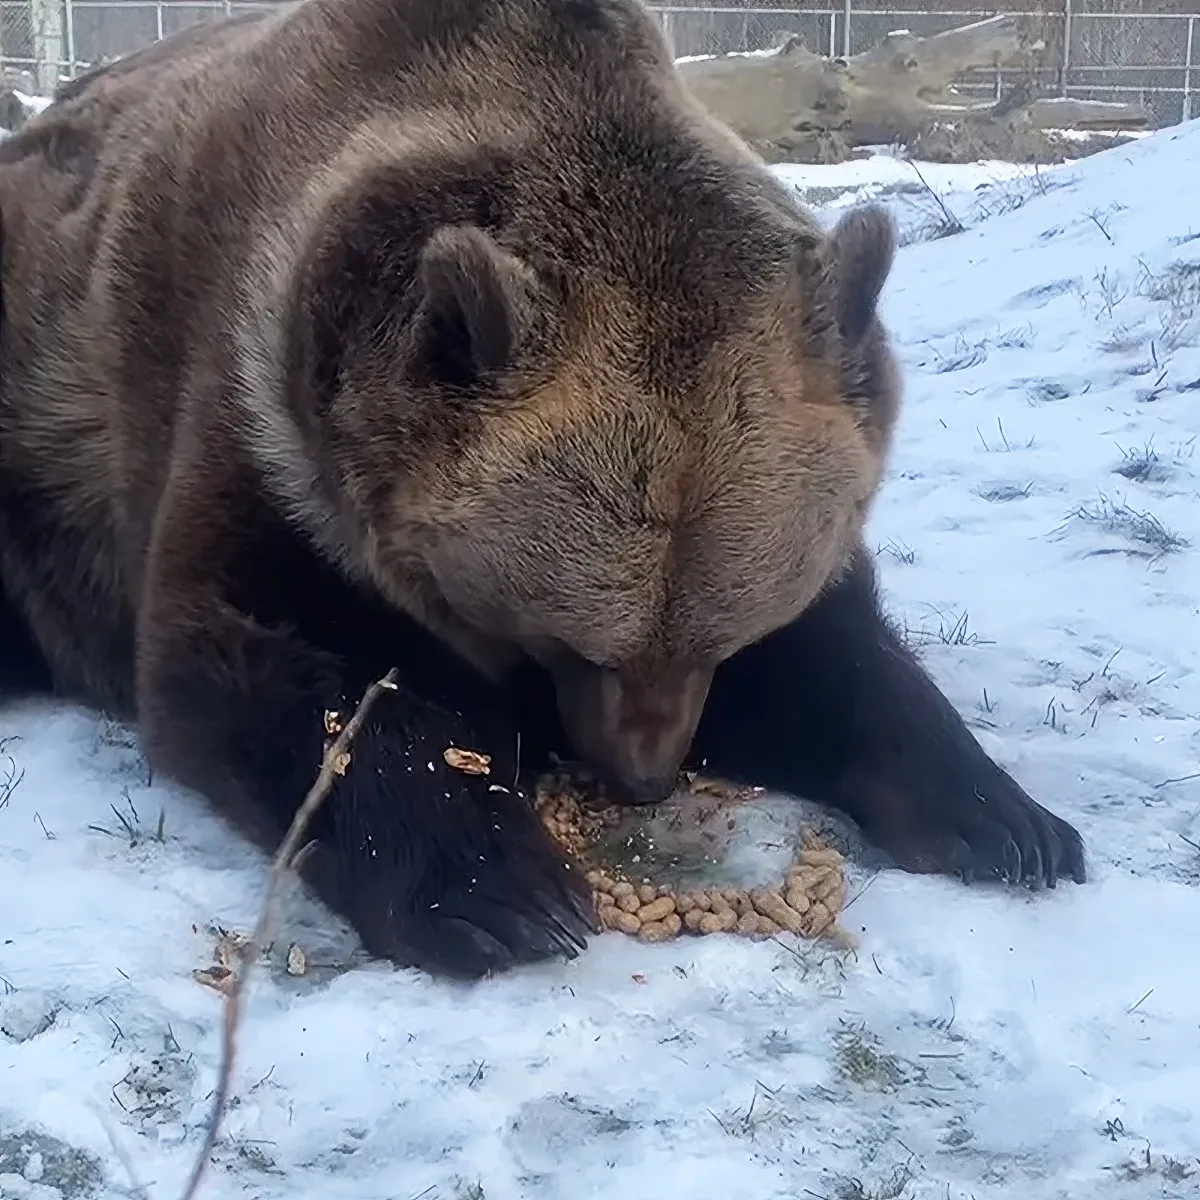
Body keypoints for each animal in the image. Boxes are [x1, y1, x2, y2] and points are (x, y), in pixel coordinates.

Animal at [0, 0, 1086, 981]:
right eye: (574, 642)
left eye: (722, 636)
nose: (643, 776)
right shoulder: (253, 417)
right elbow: (262, 660)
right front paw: (504, 892)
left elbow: (838, 654)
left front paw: (1010, 824)